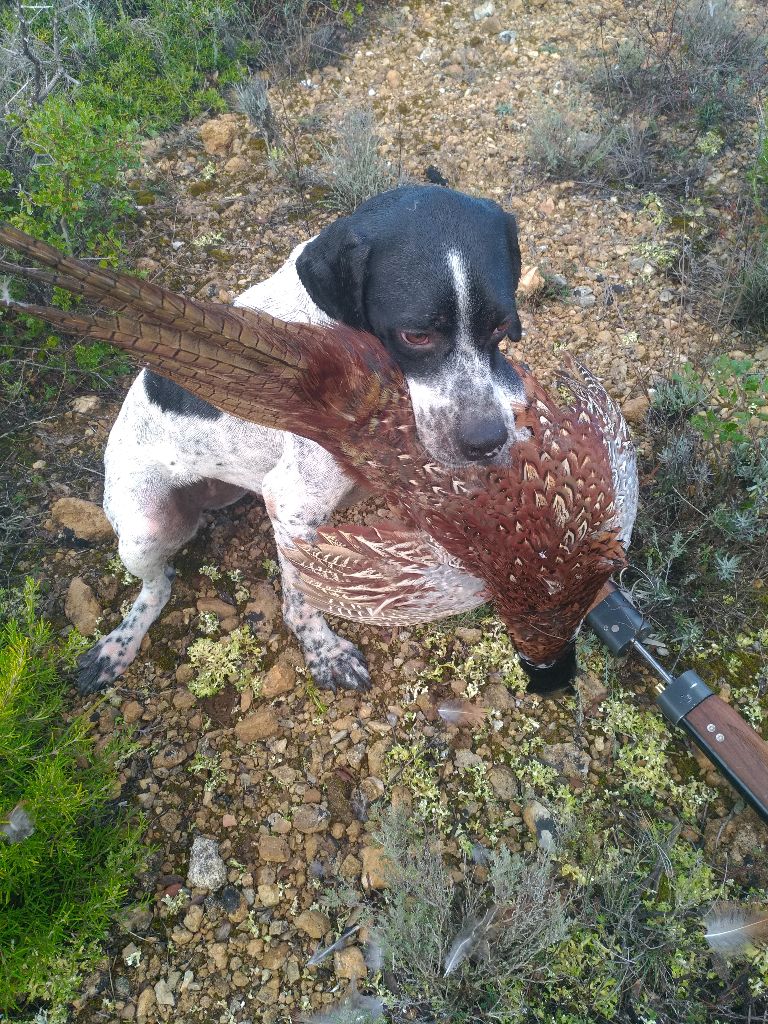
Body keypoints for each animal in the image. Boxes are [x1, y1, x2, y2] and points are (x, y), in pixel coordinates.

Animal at [78, 188, 528, 692]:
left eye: (501, 326)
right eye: (416, 335)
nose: (488, 442)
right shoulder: (292, 507)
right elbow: (301, 599)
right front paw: (324, 651)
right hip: (145, 528)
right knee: (157, 586)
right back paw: (119, 644)